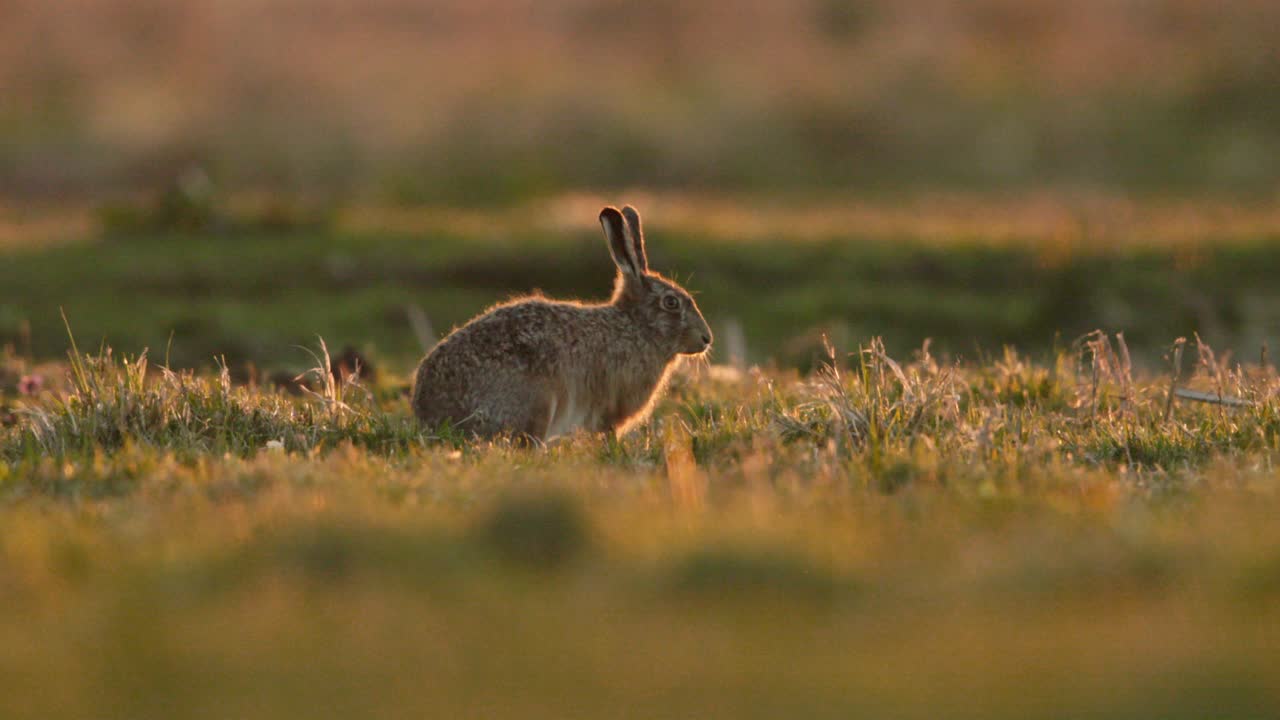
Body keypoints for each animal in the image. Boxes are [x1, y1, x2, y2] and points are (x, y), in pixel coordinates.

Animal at [413, 205, 712, 441]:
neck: (638, 327)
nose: (706, 339)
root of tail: (431, 414)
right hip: (539, 403)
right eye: (671, 303)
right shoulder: (609, 408)